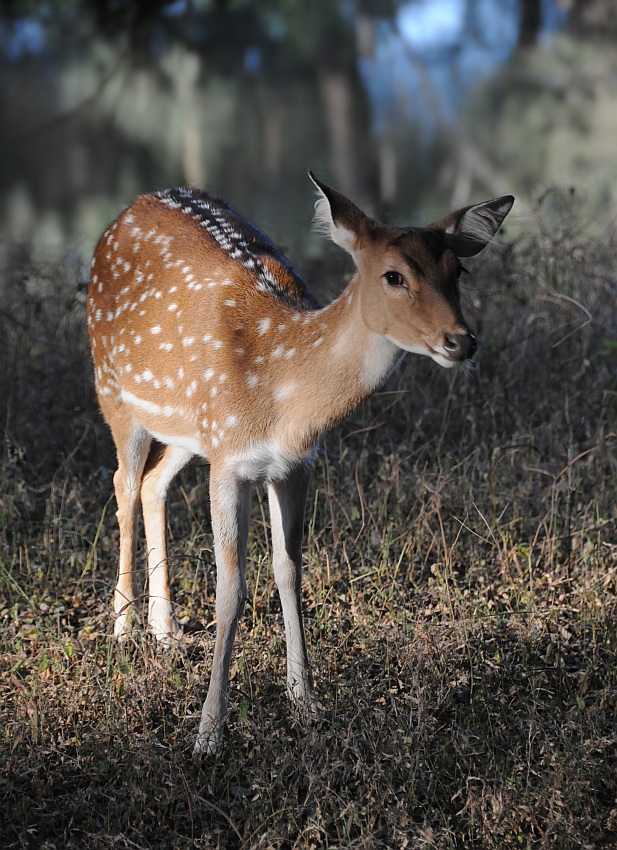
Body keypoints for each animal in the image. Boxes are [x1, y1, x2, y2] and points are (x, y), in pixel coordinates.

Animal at [85, 169, 510, 752]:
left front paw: (305, 702)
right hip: (114, 391)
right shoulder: (229, 461)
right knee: (122, 483)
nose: (461, 341)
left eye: (459, 270)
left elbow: (289, 572)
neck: (281, 393)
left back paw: (165, 629)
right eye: (394, 276)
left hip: (187, 429)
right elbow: (231, 588)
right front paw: (209, 732)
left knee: (152, 483)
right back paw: (124, 629)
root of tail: (128, 210)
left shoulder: (294, 464)